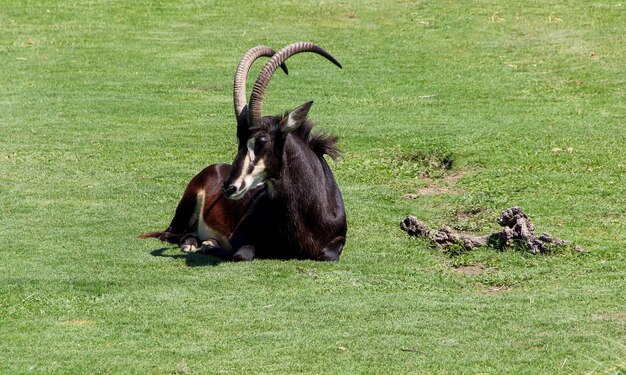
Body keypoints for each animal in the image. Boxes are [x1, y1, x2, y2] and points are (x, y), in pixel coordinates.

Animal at [140, 42, 346, 262]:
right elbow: (242, 254)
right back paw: (193, 243)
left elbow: (328, 254)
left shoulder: (337, 242)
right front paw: (208, 246)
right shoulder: (240, 234)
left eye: (262, 140)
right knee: (170, 233)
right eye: (239, 140)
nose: (229, 188)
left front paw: (209, 244)